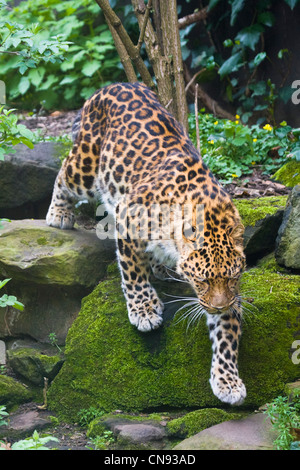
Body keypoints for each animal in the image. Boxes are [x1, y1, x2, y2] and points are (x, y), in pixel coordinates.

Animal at [46, 82, 246, 406]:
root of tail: (115, 84)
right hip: (86, 167)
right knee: (64, 172)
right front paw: (144, 310)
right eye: (202, 281)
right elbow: (132, 271)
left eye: (231, 277)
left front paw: (228, 382)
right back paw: (59, 214)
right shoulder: (127, 214)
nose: (217, 308)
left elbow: (227, 336)